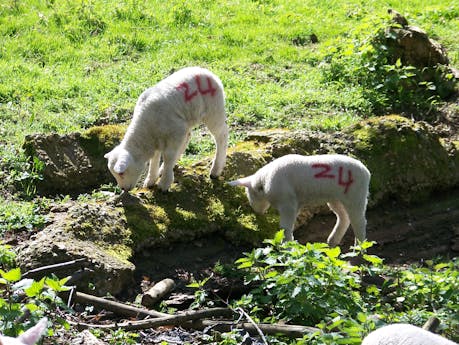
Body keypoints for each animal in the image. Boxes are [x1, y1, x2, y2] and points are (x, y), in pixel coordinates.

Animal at [228, 153, 372, 245]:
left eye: (249, 195)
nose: (257, 212)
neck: (265, 182)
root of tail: (366, 171)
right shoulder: (295, 203)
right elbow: (290, 226)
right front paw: (291, 242)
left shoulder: (287, 204)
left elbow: (285, 226)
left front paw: (286, 246)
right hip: (336, 198)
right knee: (344, 217)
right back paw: (332, 241)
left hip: (356, 195)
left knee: (359, 221)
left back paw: (359, 247)